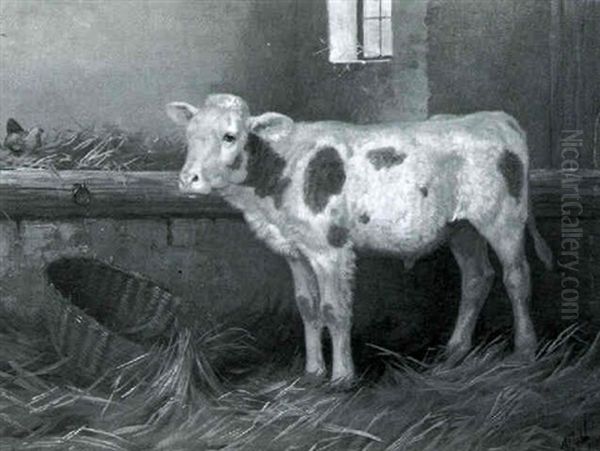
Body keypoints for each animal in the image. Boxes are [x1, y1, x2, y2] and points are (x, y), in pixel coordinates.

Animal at [166, 93, 552, 386]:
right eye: (190, 134)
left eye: (229, 136)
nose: (188, 179)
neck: (281, 166)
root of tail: (495, 118)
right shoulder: (296, 250)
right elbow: (307, 306)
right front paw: (312, 372)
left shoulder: (330, 249)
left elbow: (333, 310)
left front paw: (341, 378)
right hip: (463, 228)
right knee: (476, 278)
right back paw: (454, 353)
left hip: (503, 219)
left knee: (517, 277)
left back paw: (523, 352)